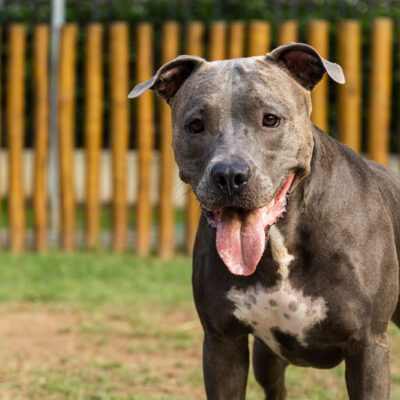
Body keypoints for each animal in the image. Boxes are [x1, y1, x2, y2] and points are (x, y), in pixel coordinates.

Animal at [128, 42, 400, 398]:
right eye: (195, 125)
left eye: (270, 119)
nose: (229, 175)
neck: (281, 240)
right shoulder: (222, 344)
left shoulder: (368, 347)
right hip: (266, 359)